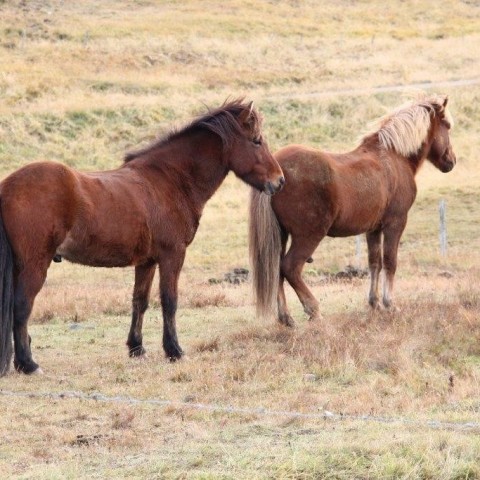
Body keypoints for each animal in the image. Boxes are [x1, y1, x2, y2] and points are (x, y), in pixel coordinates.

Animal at [0, 98, 284, 376]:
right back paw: (28, 364)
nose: (279, 181)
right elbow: (169, 301)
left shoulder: (146, 262)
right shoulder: (173, 255)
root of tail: (7, 187)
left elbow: (140, 301)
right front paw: (174, 350)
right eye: (257, 140)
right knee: (22, 306)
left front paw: (136, 348)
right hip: (34, 265)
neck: (169, 180)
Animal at [249, 94, 456, 326]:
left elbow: (375, 263)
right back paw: (314, 310)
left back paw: (286, 318)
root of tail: (277, 172)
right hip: (308, 236)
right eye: (447, 126)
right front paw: (390, 304)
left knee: (276, 269)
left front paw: (374, 303)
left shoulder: (373, 229)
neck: (394, 157)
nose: (451, 160)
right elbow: (390, 262)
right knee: (290, 268)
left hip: (281, 235)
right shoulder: (395, 223)